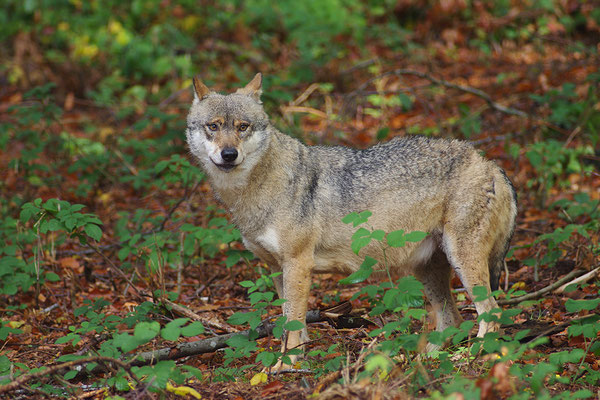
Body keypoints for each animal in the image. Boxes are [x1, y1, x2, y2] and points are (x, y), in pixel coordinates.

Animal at [185, 74, 516, 368]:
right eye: (213, 126)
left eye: (243, 127)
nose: (229, 154)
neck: (255, 190)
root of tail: (490, 163)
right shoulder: (277, 269)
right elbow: (291, 324)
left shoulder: (298, 263)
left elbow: (293, 326)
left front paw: (284, 367)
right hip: (428, 268)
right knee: (453, 319)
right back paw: (423, 361)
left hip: (462, 262)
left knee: (491, 314)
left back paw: (471, 358)